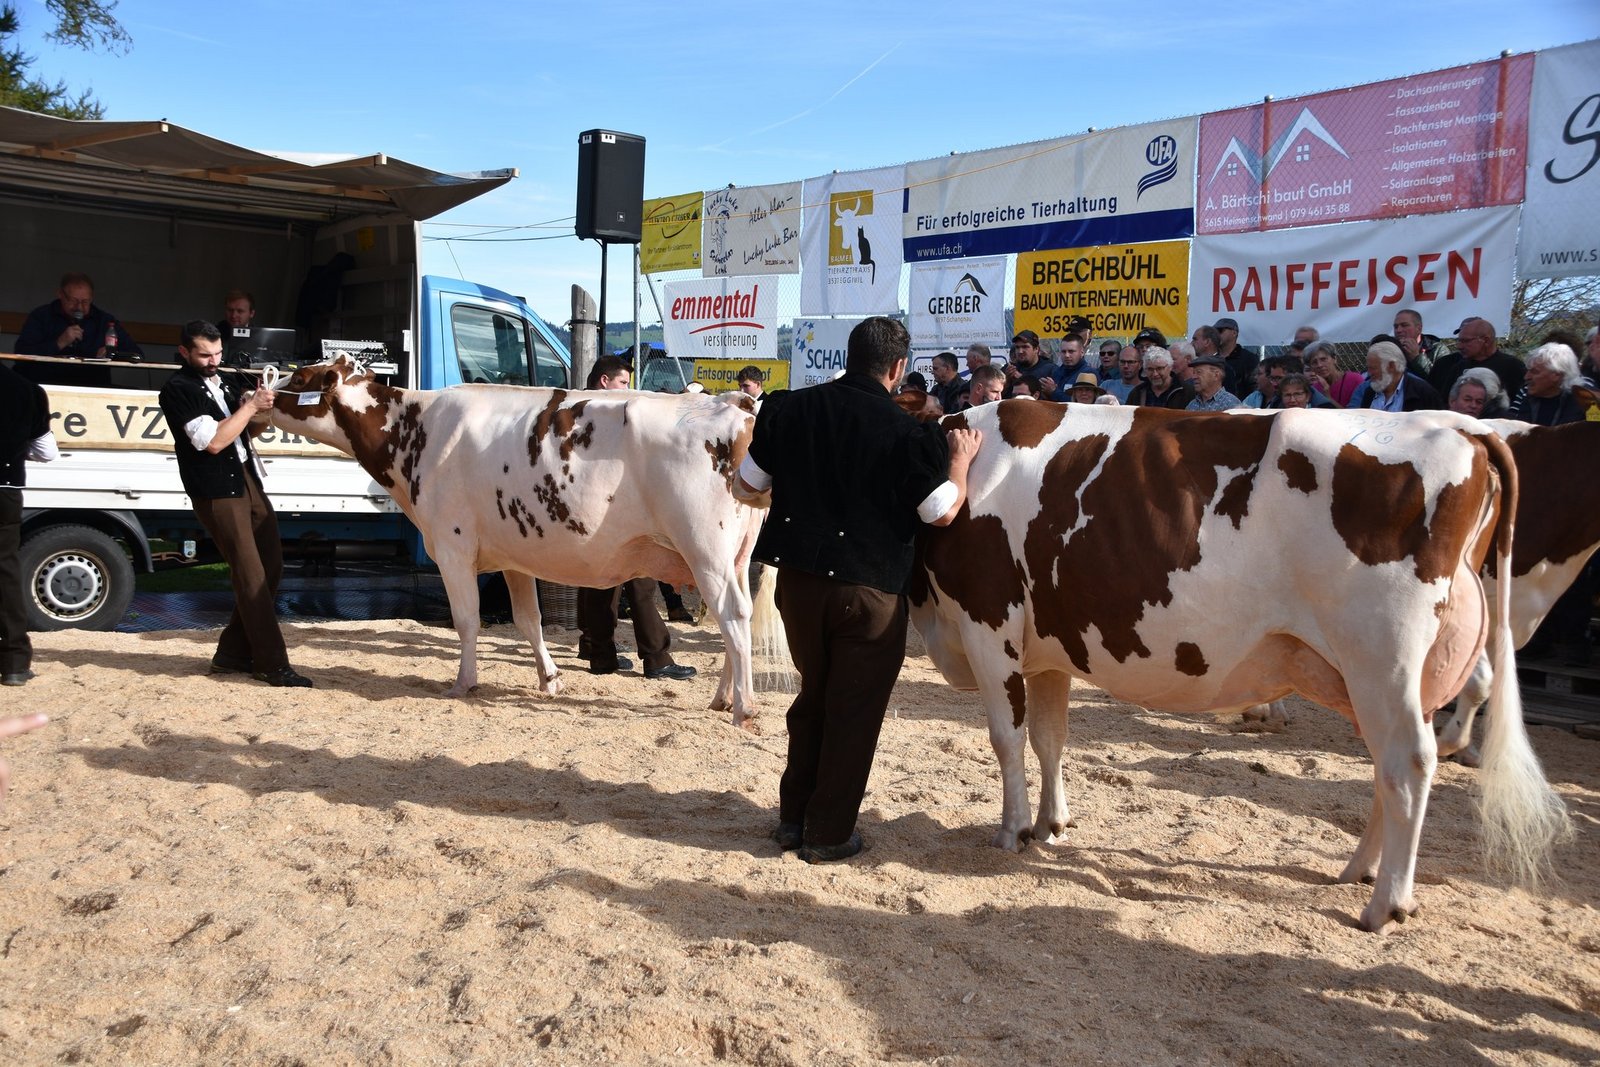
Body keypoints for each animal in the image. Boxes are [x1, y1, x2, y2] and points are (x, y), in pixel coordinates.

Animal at [264, 356, 768, 724]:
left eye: (300, 376)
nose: (258, 391)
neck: (416, 429)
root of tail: (735, 404)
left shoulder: (452, 546)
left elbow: (467, 621)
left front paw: (463, 683)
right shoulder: (513, 556)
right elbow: (529, 621)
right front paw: (550, 679)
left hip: (704, 549)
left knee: (732, 615)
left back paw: (742, 708)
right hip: (736, 555)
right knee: (738, 617)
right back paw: (722, 698)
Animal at [909, 399, 1569, 933]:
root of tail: (1460, 426)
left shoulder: (988, 624)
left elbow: (1008, 737)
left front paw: (1013, 830)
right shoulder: (1048, 648)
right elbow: (1051, 738)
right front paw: (1053, 823)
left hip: (1383, 659)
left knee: (1407, 763)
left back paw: (1385, 904)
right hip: (1390, 676)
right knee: (1388, 765)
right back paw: (1357, 869)